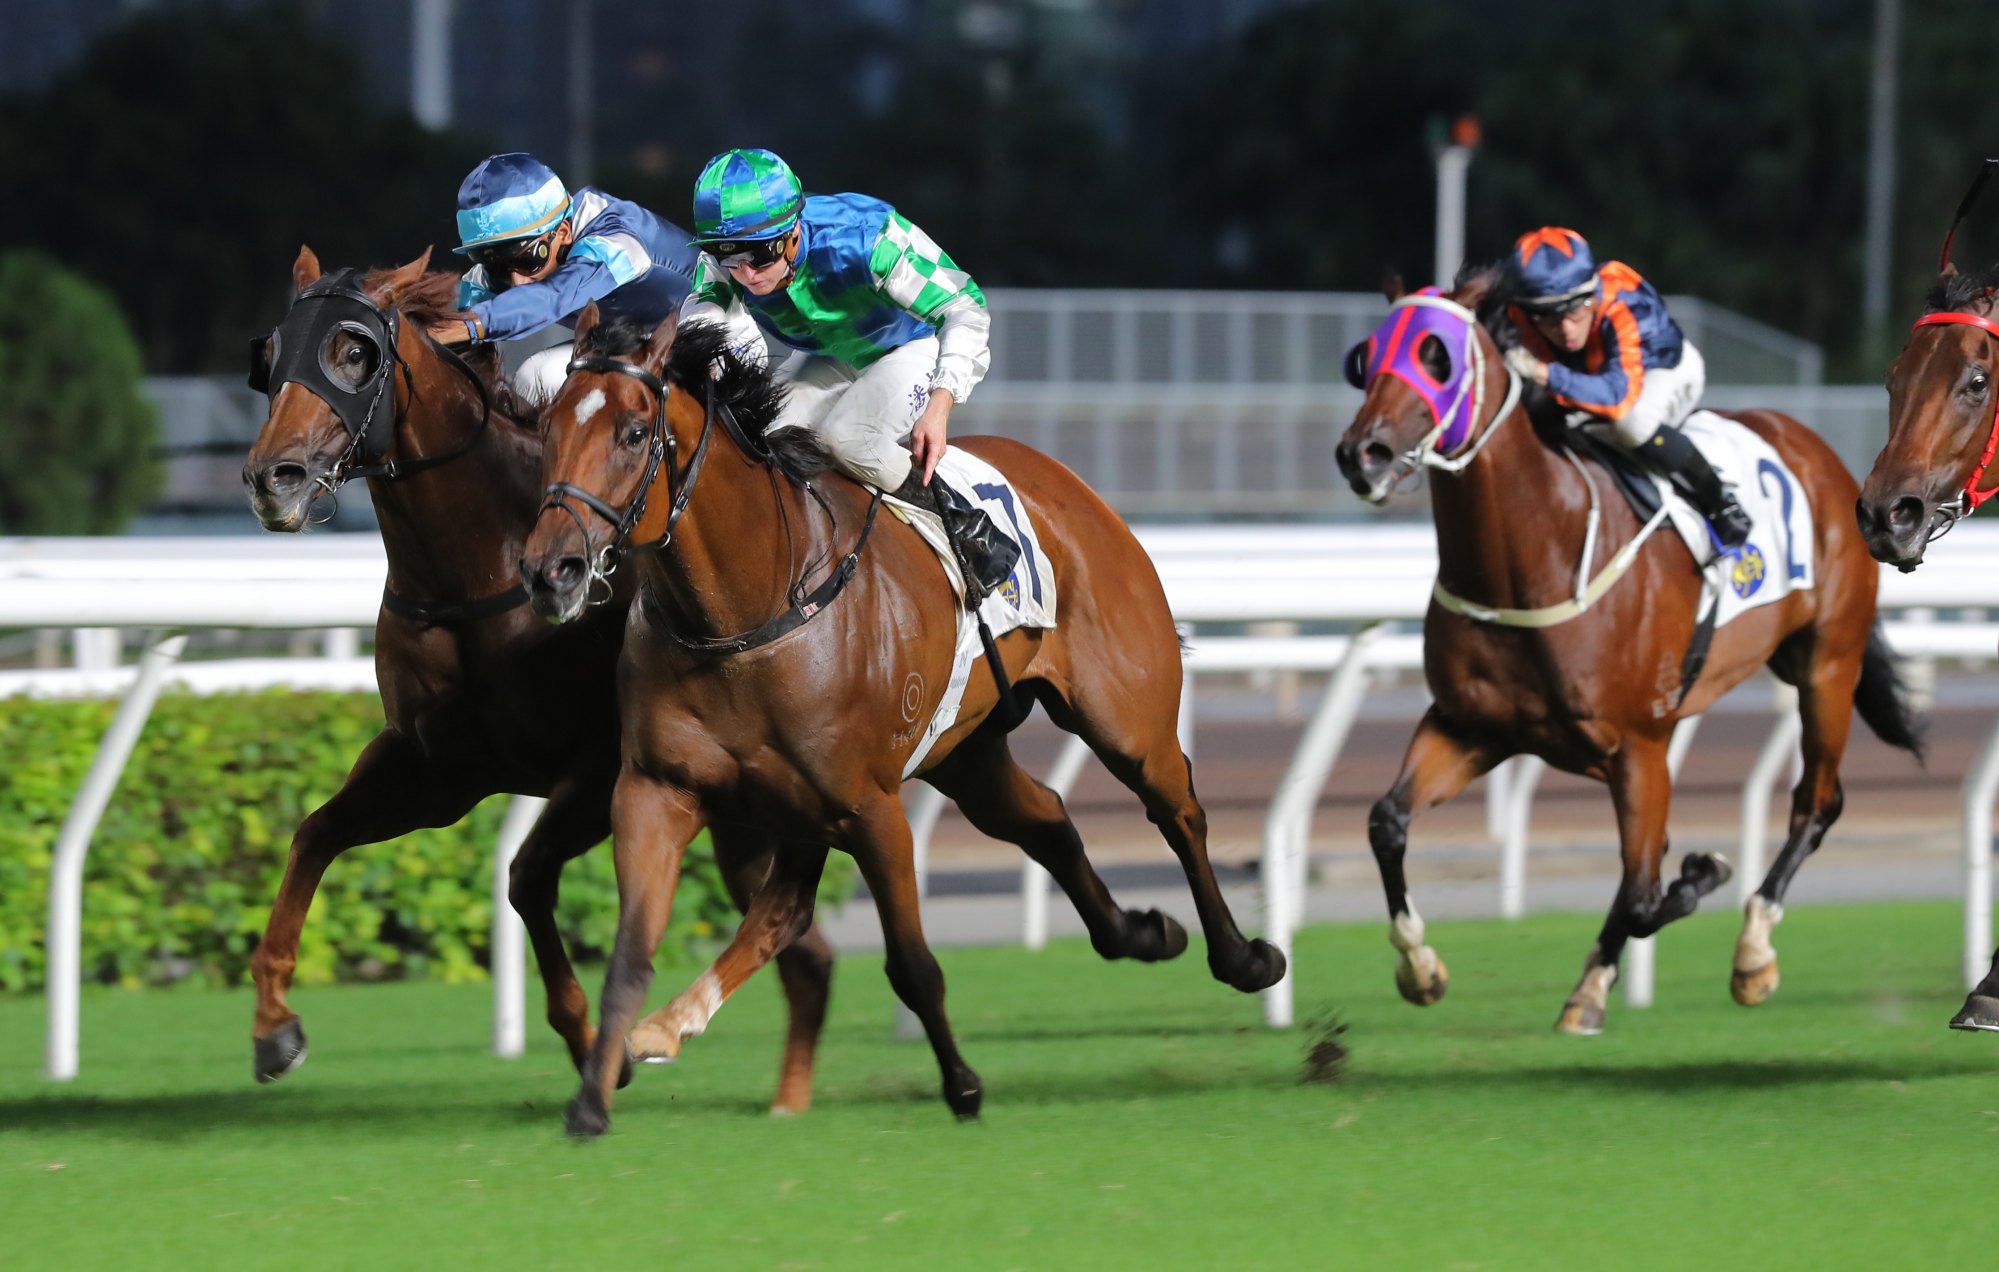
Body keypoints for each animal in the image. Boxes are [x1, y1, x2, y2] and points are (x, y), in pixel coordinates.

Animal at [237, 246, 831, 1104]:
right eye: (273, 354)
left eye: (354, 351)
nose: (272, 477)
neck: (478, 570)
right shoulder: (437, 769)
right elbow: (314, 834)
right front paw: (274, 1025)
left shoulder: (601, 765)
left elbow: (523, 877)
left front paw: (599, 1052)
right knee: (809, 954)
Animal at [519, 310, 1279, 1144]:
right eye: (545, 425)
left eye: (632, 432)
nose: (551, 570)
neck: (748, 610)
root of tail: (1072, 485)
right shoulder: (658, 791)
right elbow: (630, 952)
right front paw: (591, 1099)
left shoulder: (871, 808)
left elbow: (912, 965)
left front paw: (964, 1087)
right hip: (958, 758)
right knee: (1035, 823)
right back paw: (1137, 932)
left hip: (1125, 718)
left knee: (1177, 810)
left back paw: (1244, 959)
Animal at [1327, 268, 1919, 1032]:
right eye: (1365, 357)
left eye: (1437, 357)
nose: (1360, 453)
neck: (1532, 556)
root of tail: (1815, 451)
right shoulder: (1469, 726)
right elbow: (1387, 823)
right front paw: (1420, 968)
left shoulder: (1638, 746)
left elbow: (1644, 893)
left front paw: (1703, 873)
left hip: (1826, 665)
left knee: (1816, 803)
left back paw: (1752, 952)